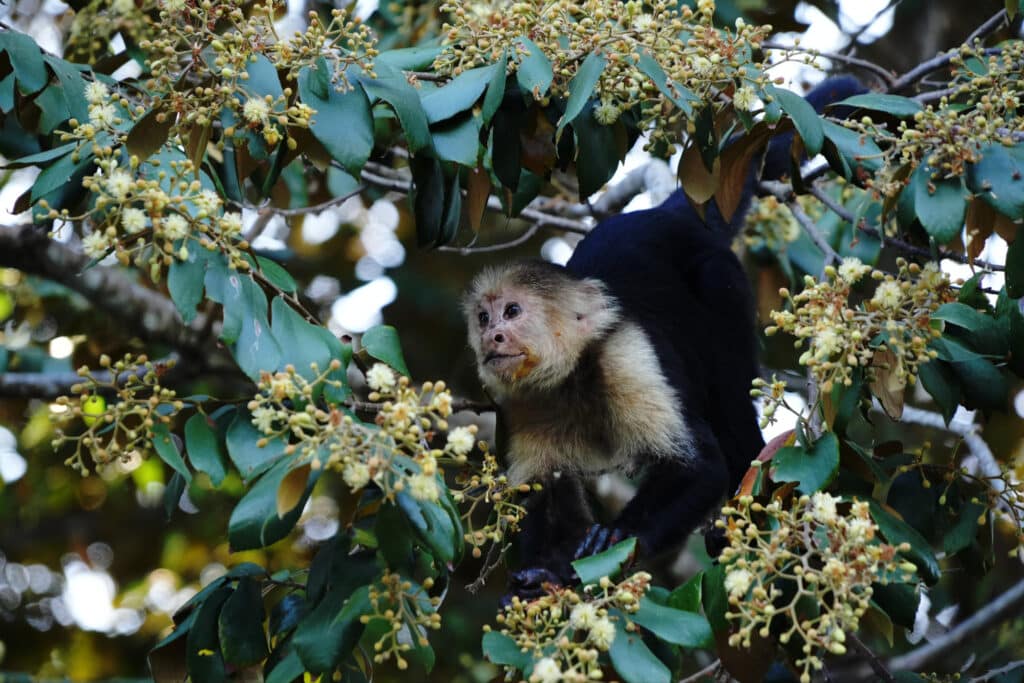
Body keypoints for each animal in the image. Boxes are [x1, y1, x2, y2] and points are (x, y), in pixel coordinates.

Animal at [463, 76, 867, 597]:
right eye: (483, 318)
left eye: (512, 312)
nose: (493, 337)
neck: (570, 374)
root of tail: (665, 215)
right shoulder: (518, 405)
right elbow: (544, 495)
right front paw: (543, 573)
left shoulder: (627, 355)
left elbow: (700, 469)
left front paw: (610, 540)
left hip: (719, 275)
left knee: (729, 389)